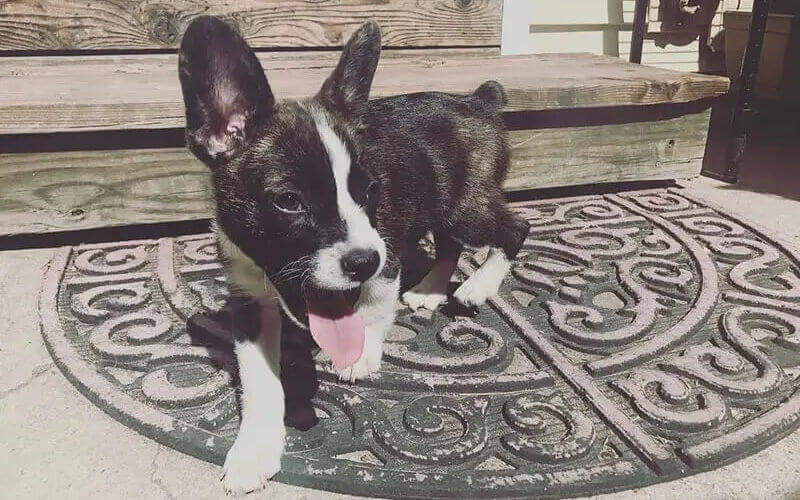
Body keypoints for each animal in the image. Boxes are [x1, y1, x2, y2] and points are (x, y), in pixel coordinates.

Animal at [178, 16, 528, 496]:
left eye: (371, 191)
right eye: (289, 202)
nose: (364, 262)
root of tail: (479, 102)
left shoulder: (388, 247)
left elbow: (376, 304)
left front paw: (363, 352)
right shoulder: (248, 300)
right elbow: (259, 380)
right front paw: (254, 449)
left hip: (466, 206)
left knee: (513, 229)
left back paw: (478, 285)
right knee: (449, 243)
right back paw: (431, 289)